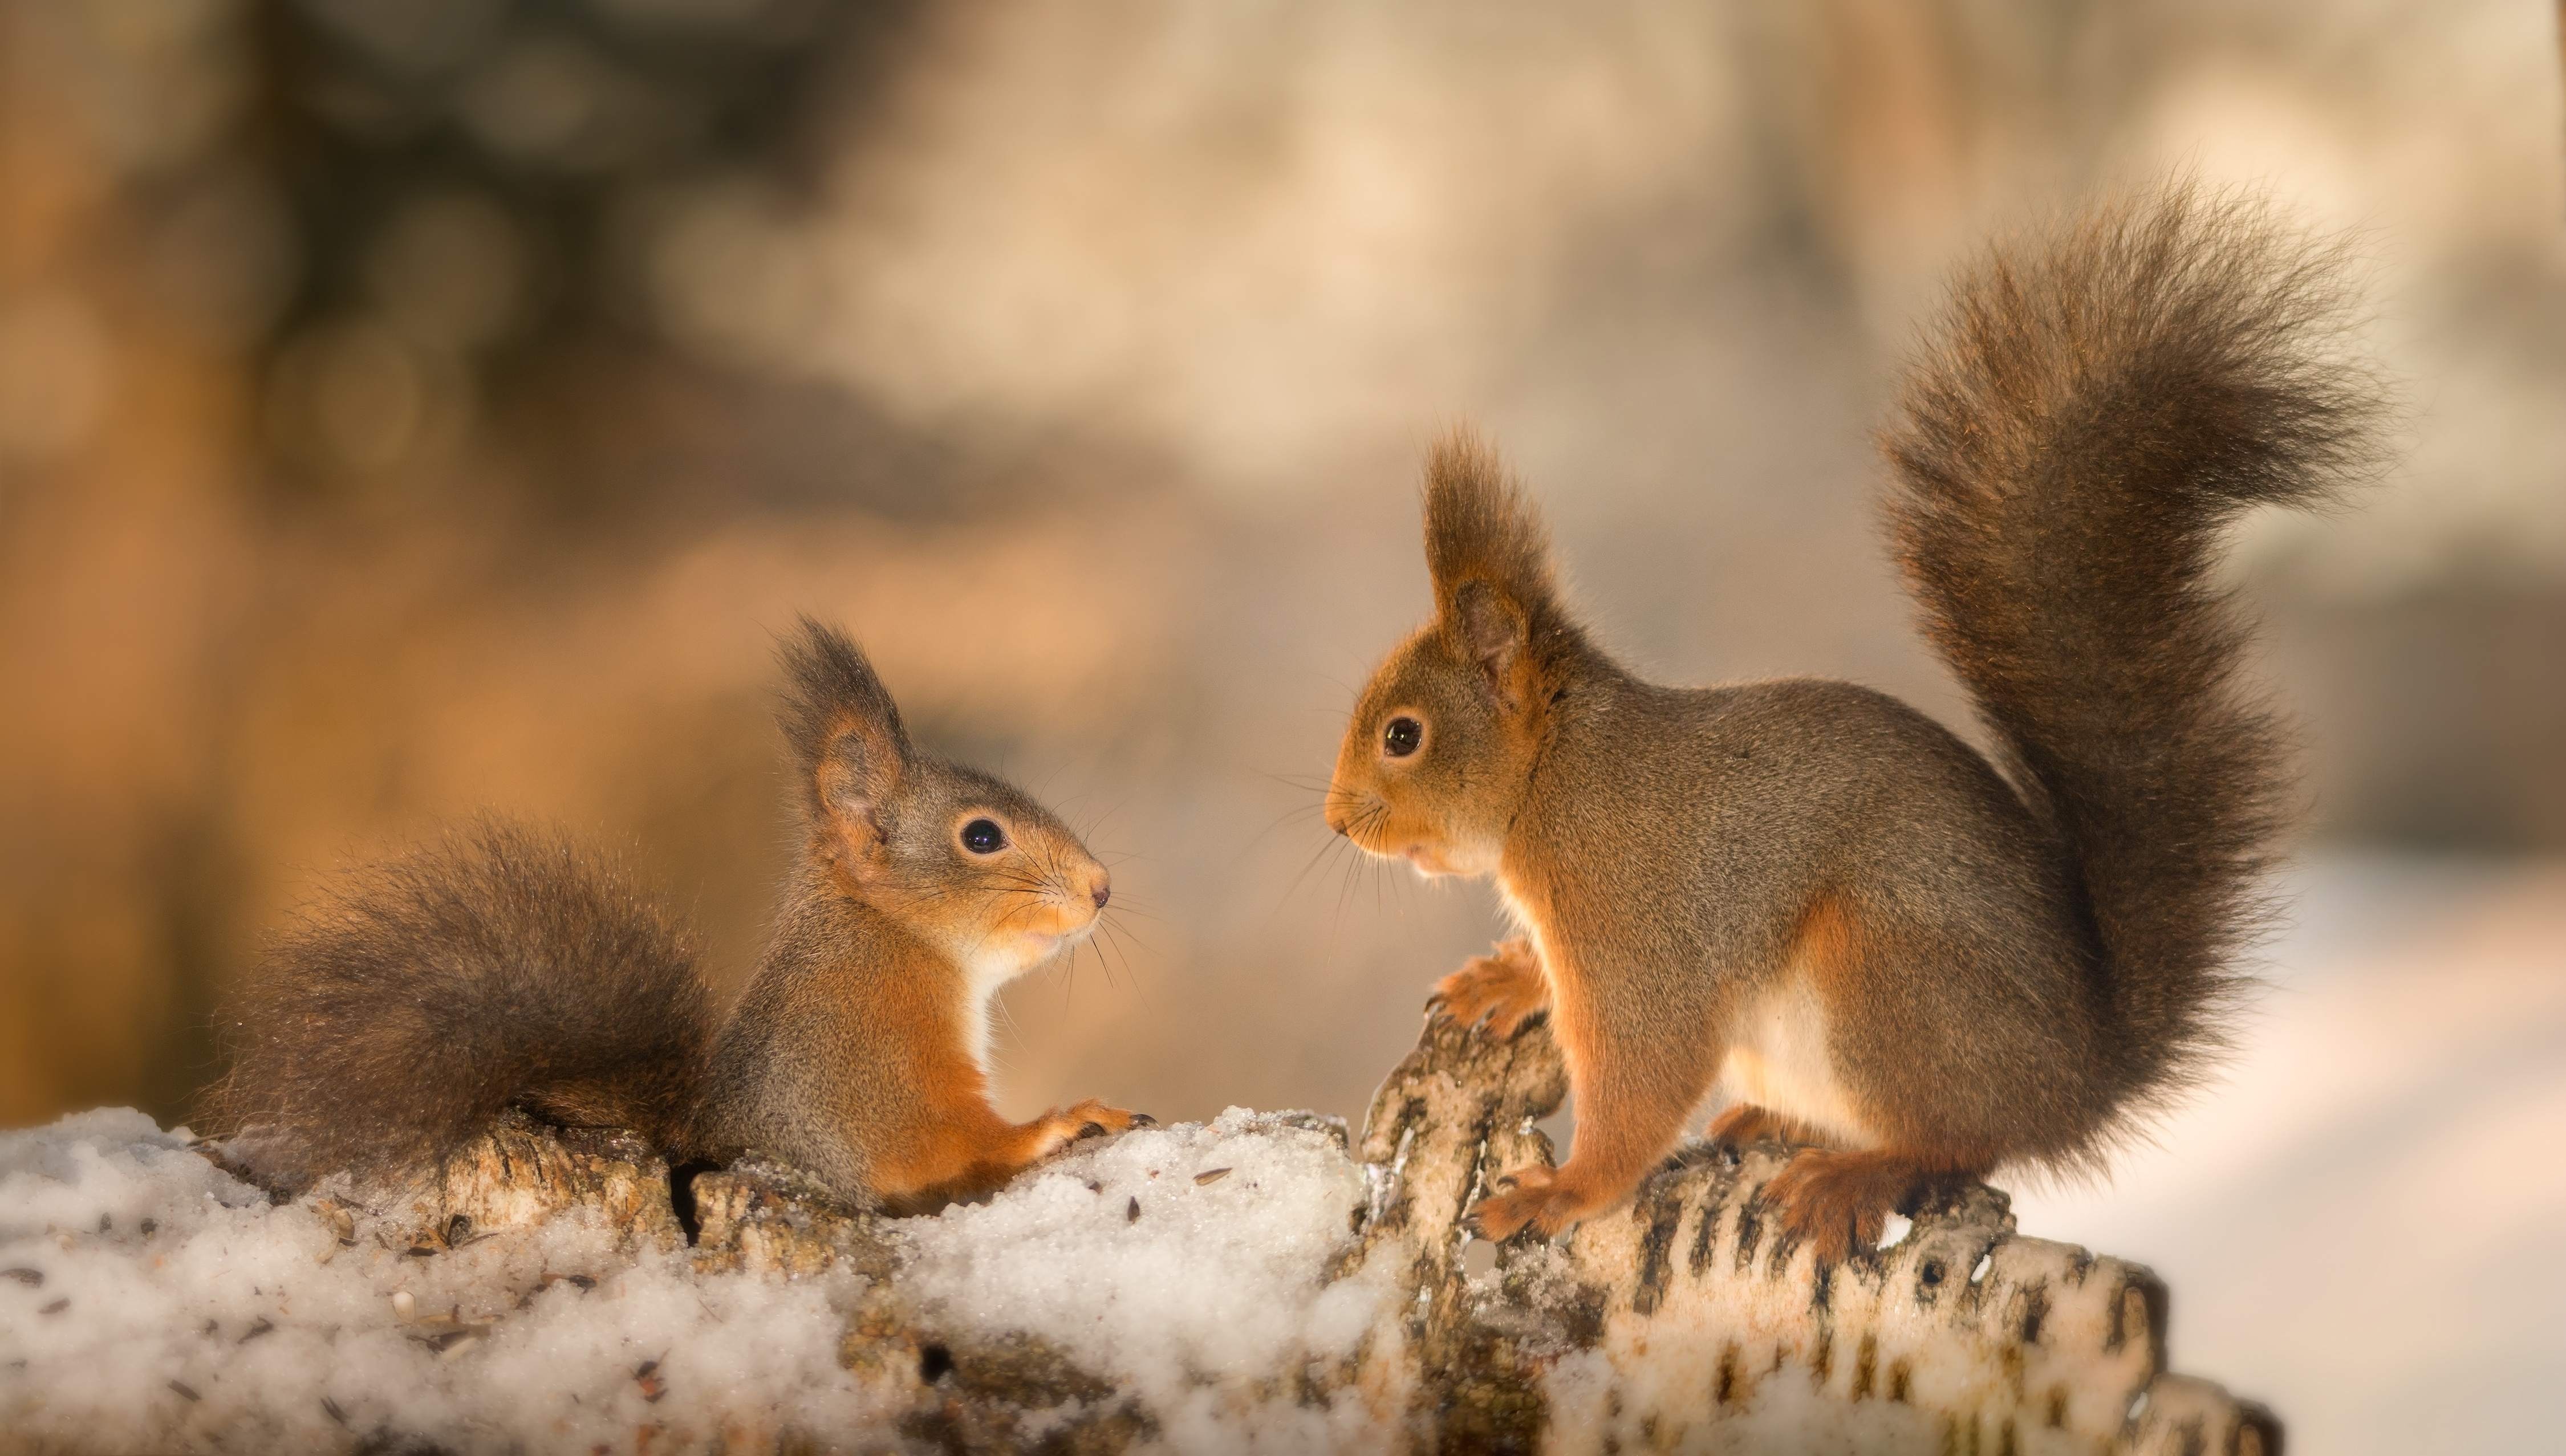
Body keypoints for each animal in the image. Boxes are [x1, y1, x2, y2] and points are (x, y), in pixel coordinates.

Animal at [213, 620, 1144, 1210]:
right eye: (981, 836)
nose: (1101, 887)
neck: (889, 936)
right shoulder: (874, 1050)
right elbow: (940, 1146)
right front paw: (1064, 1119)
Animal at [1324, 182, 2381, 1256]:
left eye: (1403, 734)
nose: (1337, 820)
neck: (1556, 780)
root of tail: (2079, 1080)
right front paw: (1504, 978)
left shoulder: (1636, 927)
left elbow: (1643, 1079)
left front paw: (1562, 1191)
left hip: (1881, 975)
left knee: (1960, 1142)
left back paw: (1853, 1171)